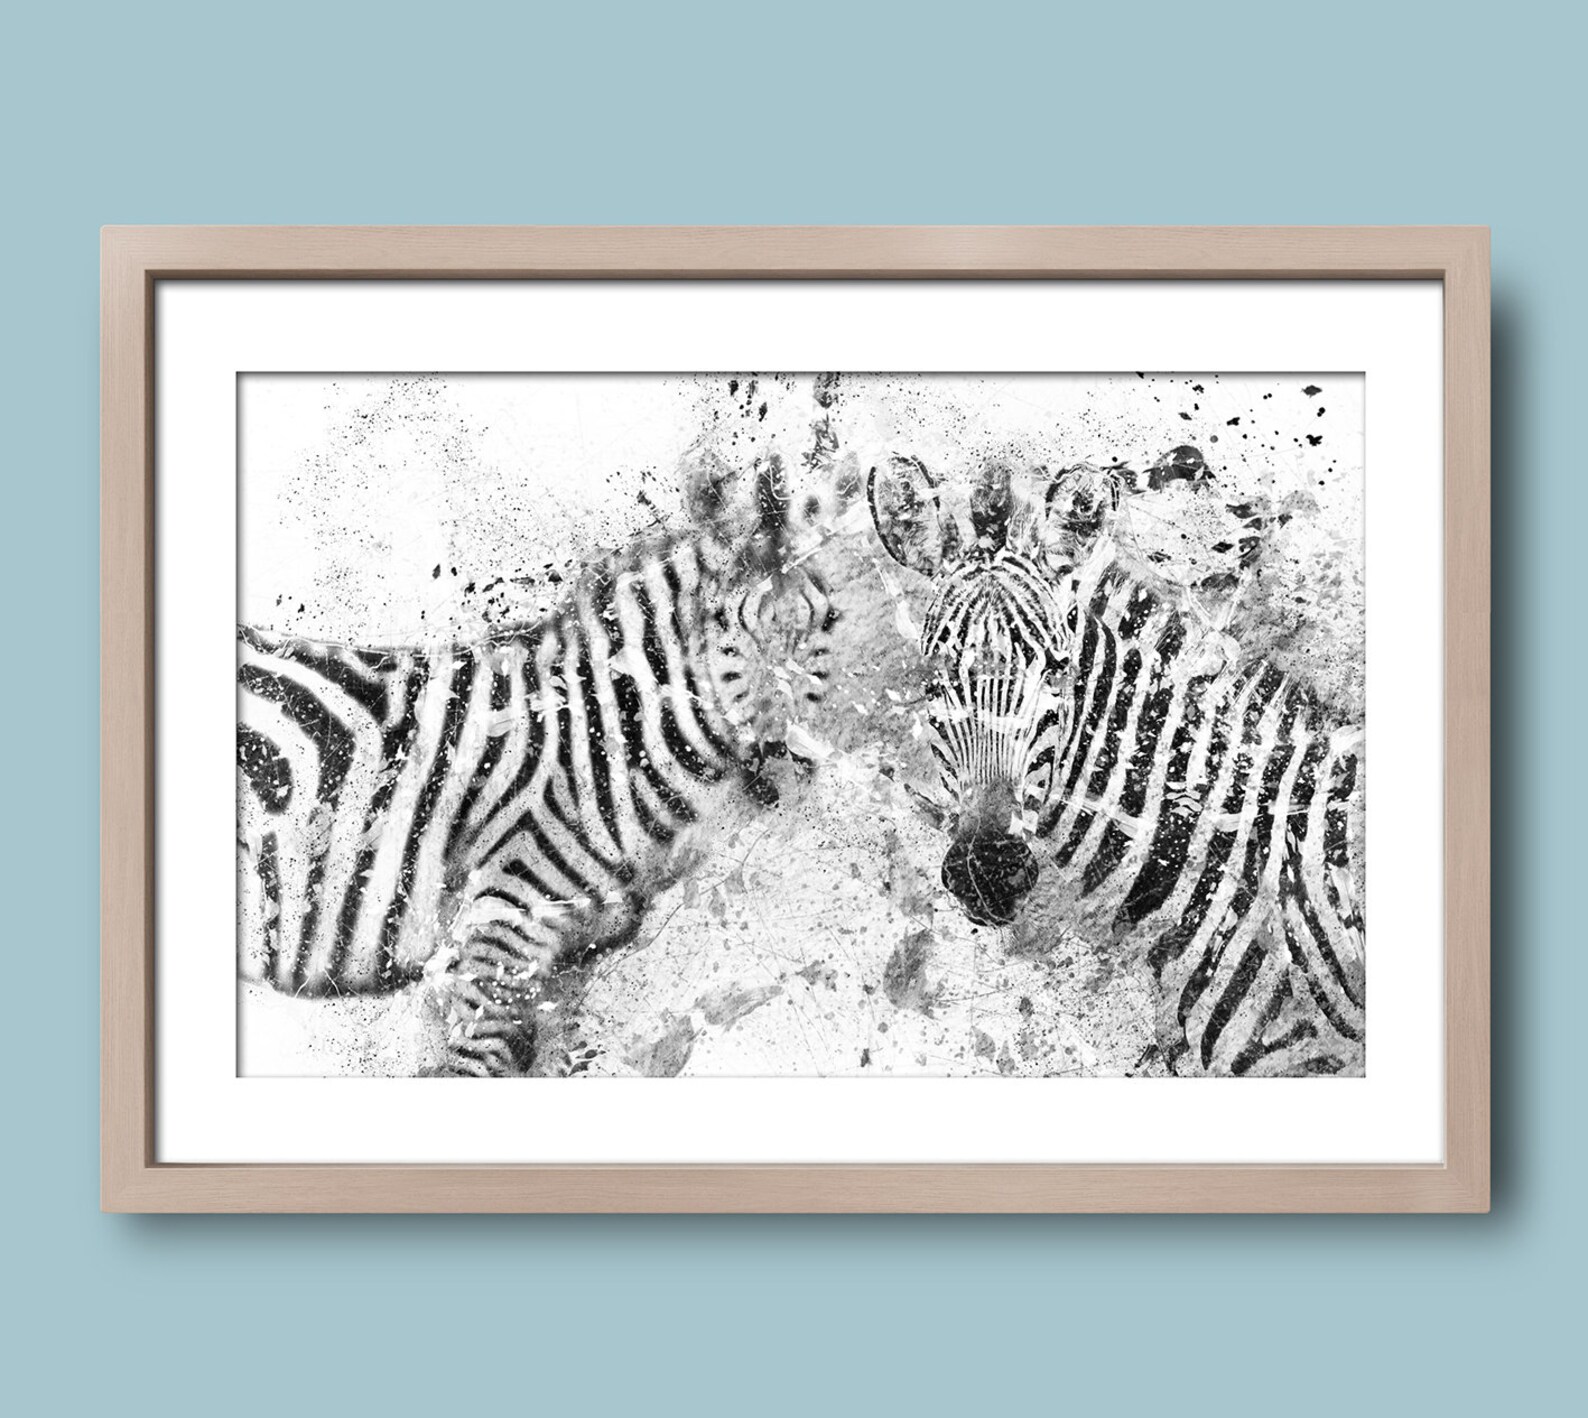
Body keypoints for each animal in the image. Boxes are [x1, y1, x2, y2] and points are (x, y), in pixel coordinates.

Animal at [238, 448, 841, 1076]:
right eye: (738, 630)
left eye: (828, 621)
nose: (802, 765)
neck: (606, 743)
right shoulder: (500, 926)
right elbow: (479, 1061)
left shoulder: (569, 959)